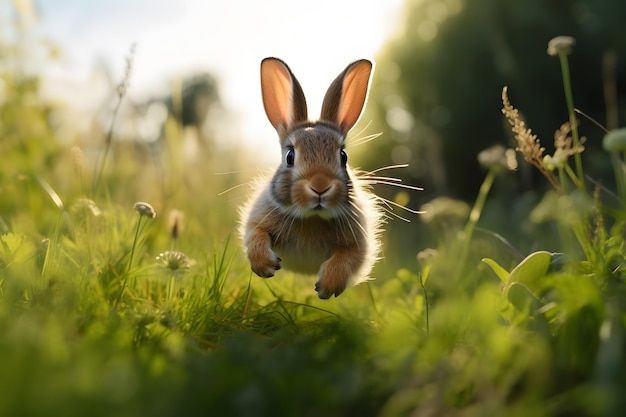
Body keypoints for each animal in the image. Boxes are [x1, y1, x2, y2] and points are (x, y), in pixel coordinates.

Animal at [239, 57, 382, 300]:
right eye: (290, 156)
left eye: (343, 156)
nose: (320, 186)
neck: (312, 217)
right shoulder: (257, 221)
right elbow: (255, 235)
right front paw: (266, 265)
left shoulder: (358, 245)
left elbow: (347, 258)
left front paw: (326, 286)